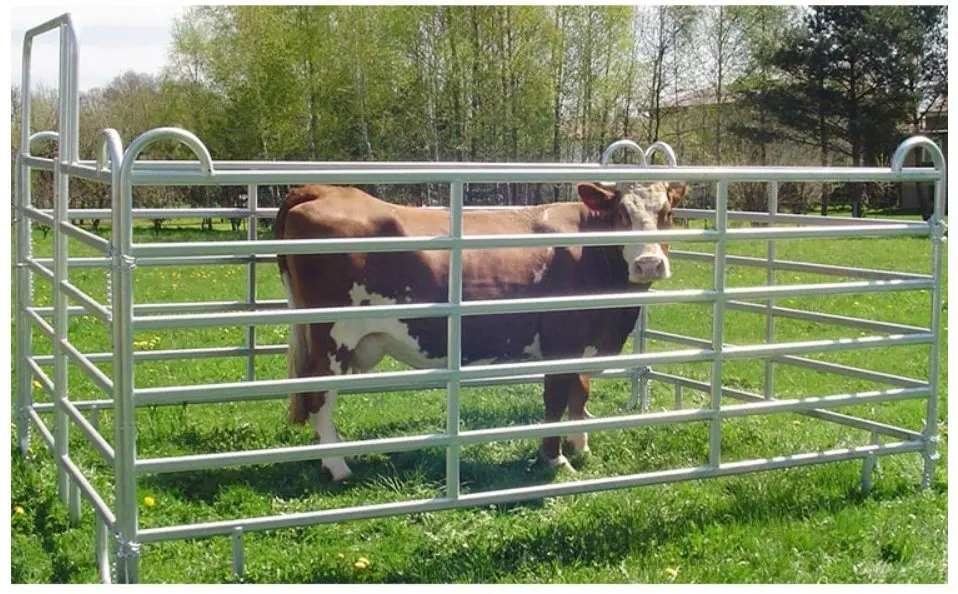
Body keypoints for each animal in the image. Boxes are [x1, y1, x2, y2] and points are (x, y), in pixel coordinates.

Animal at [276, 181, 685, 482]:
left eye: (667, 213)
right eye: (620, 213)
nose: (649, 263)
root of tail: (325, 190)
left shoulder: (583, 342)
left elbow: (579, 393)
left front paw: (581, 445)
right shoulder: (561, 341)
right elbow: (555, 400)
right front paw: (555, 459)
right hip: (333, 337)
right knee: (318, 395)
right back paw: (337, 465)